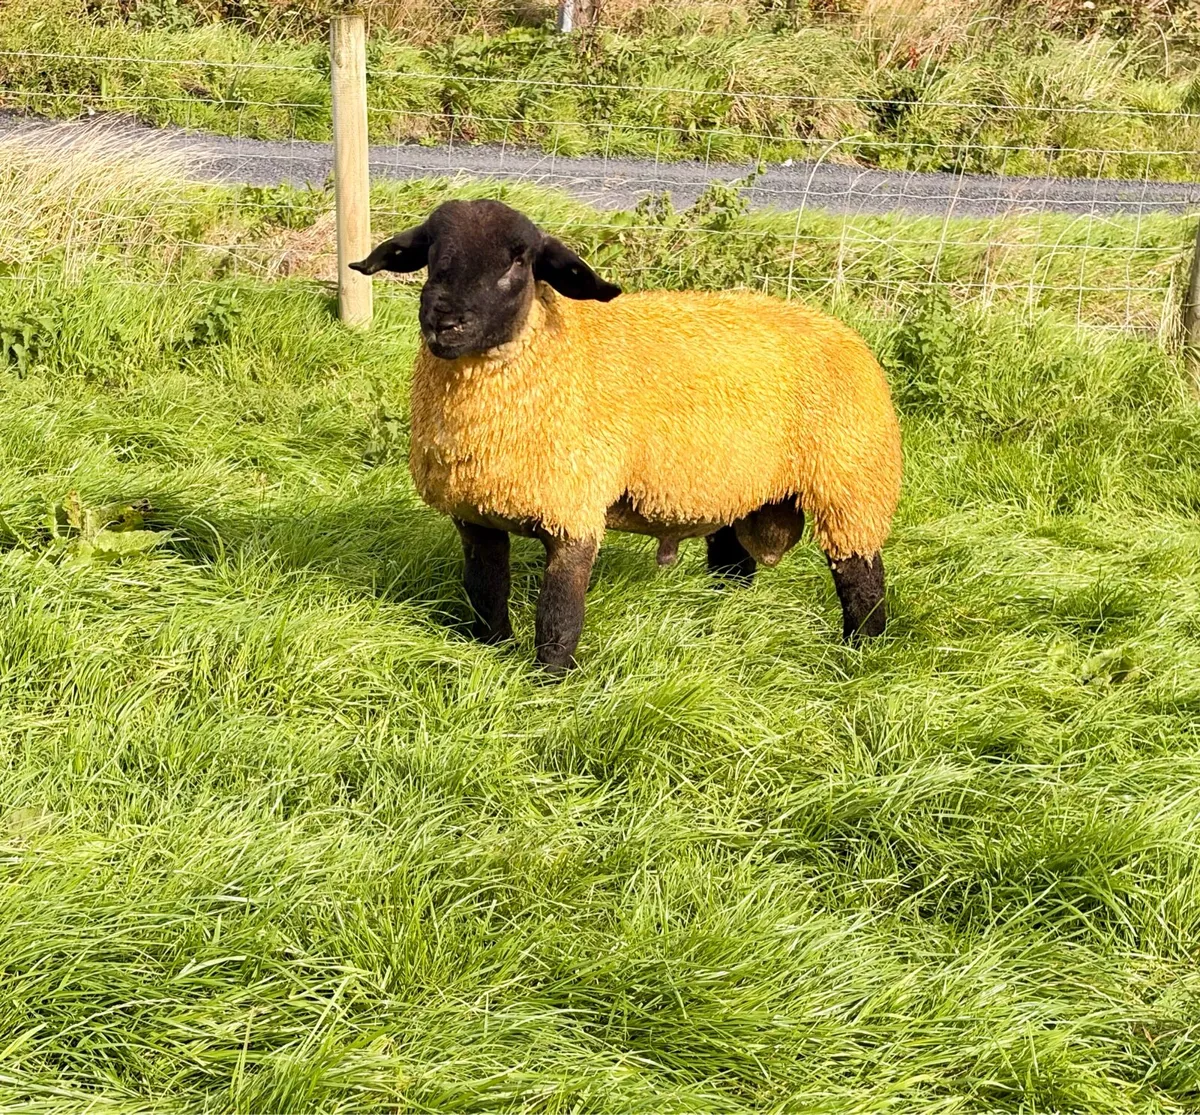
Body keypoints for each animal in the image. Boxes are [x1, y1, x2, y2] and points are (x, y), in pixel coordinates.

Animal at [351, 199, 902, 674]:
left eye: (519, 261)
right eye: (429, 253)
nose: (444, 322)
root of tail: (842, 330)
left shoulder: (572, 510)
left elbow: (559, 617)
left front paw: (548, 685)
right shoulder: (476, 515)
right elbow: (485, 593)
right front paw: (492, 652)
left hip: (852, 484)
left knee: (863, 583)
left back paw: (861, 653)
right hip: (735, 487)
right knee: (733, 565)